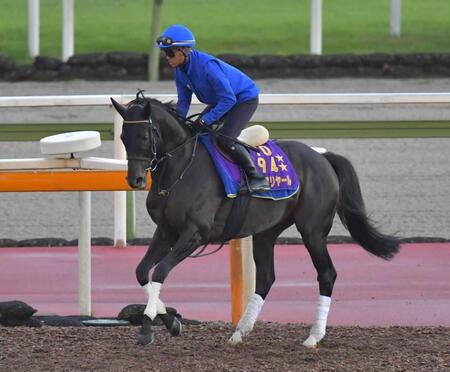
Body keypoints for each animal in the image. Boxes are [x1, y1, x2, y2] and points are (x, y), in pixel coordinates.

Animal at [110, 94, 400, 348]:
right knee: (266, 278)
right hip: (266, 232)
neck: (181, 169)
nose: (135, 180)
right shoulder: (166, 231)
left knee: (327, 273)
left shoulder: (194, 234)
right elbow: (141, 272)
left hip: (313, 230)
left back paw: (313, 336)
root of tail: (322, 157)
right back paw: (240, 331)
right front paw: (168, 323)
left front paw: (150, 329)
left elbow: (160, 271)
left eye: (144, 136)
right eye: (123, 137)